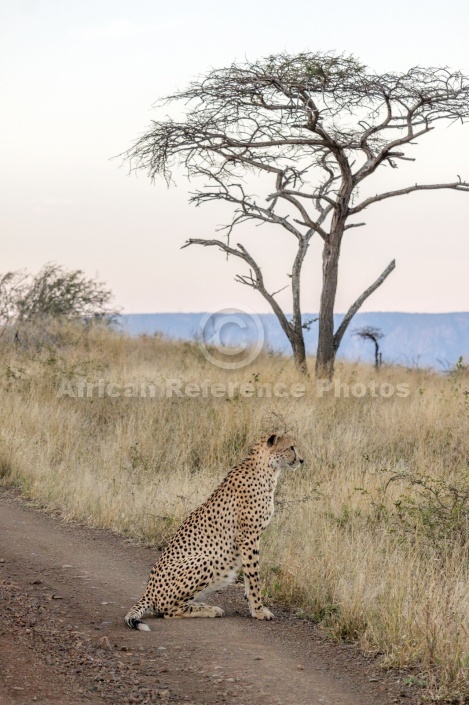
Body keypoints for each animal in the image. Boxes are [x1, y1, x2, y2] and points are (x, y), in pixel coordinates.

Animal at [122, 432, 302, 628]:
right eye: (291, 447)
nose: (301, 460)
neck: (268, 469)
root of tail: (148, 591)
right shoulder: (248, 537)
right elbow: (254, 577)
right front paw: (259, 611)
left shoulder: (251, 539)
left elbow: (248, 577)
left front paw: (255, 607)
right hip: (205, 560)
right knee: (168, 611)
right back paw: (209, 610)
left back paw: (201, 605)